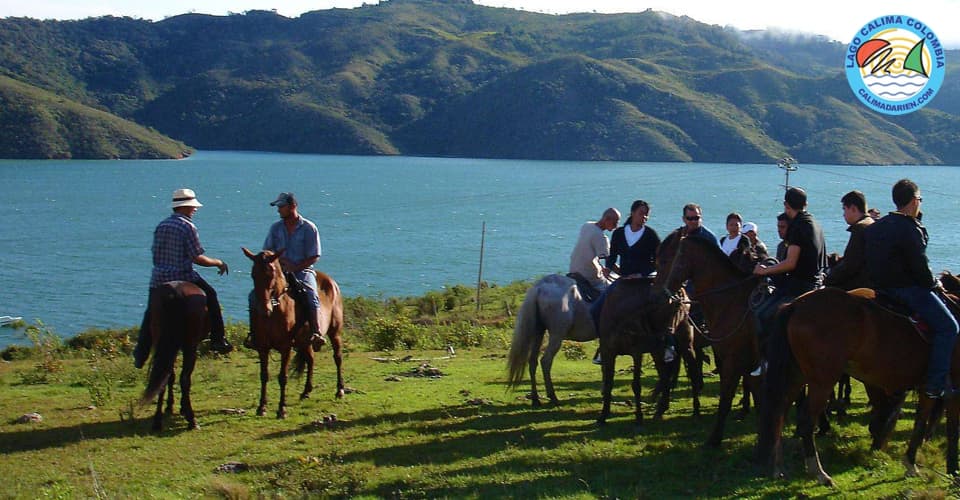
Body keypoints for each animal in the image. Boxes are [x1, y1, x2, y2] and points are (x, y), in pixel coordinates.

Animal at [142, 282, 209, 430]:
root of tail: (174, 293)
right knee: (184, 379)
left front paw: (169, 406)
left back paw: (157, 421)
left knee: (163, 377)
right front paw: (182, 407)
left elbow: (170, 376)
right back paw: (192, 420)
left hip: (161, 342)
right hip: (190, 346)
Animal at [244, 247, 344, 418]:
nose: (264, 309)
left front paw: (282, 409)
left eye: (271, 274)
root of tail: (331, 282)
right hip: (305, 342)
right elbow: (264, 375)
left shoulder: (286, 347)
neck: (276, 308)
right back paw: (306, 392)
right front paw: (262, 407)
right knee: (311, 360)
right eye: (253, 274)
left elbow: (282, 377)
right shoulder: (262, 347)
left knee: (337, 357)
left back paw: (340, 390)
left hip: (334, 332)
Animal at [506, 274, 596, 406]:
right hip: (556, 335)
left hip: (538, 332)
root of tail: (540, 287)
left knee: (533, 361)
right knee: (546, 361)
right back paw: (552, 396)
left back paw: (535, 399)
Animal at [756, 286, 960, 484]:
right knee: (806, 420)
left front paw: (911, 463)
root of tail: (795, 305)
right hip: (822, 381)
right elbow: (951, 428)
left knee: (779, 413)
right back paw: (819, 472)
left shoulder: (927, 388)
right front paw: (952, 470)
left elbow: (920, 422)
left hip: (796, 376)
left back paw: (777, 467)